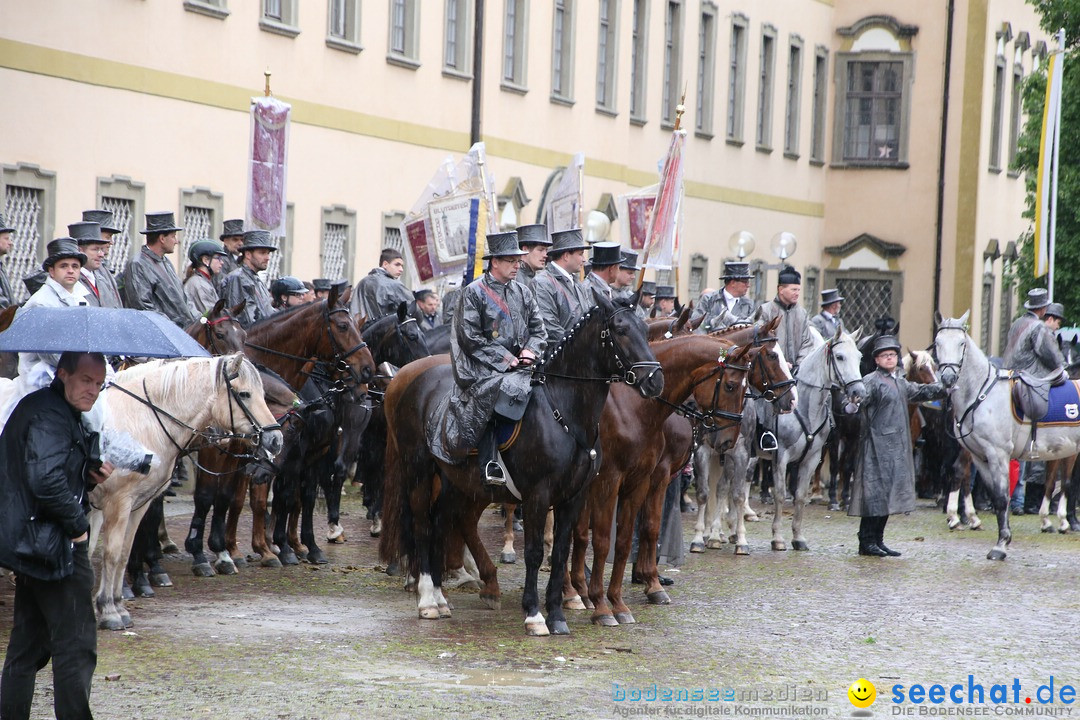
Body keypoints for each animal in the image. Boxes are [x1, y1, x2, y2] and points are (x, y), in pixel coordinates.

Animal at [89, 354, 282, 630]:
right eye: (244, 394)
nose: (276, 439)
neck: (139, 421)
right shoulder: (117, 503)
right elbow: (112, 554)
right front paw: (108, 610)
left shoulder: (136, 505)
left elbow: (123, 552)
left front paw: (117, 606)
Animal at [380, 291, 665, 634]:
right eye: (621, 330)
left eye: (645, 330)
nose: (655, 381)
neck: (564, 412)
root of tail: (406, 380)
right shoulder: (537, 496)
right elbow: (534, 552)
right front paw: (534, 614)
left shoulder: (573, 497)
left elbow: (561, 552)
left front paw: (557, 615)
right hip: (419, 472)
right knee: (423, 525)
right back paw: (427, 600)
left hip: (456, 483)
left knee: (440, 523)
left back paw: (440, 597)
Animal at [760, 325, 868, 552]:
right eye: (840, 356)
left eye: (859, 357)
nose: (858, 392)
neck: (803, 406)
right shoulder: (781, 457)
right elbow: (780, 494)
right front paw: (777, 538)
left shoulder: (811, 459)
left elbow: (800, 496)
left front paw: (798, 537)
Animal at [937, 313, 1080, 561]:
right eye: (937, 343)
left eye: (961, 343)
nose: (947, 377)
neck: (982, 394)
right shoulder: (982, 457)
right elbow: (998, 497)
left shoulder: (999, 455)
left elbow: (1008, 496)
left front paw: (1002, 543)